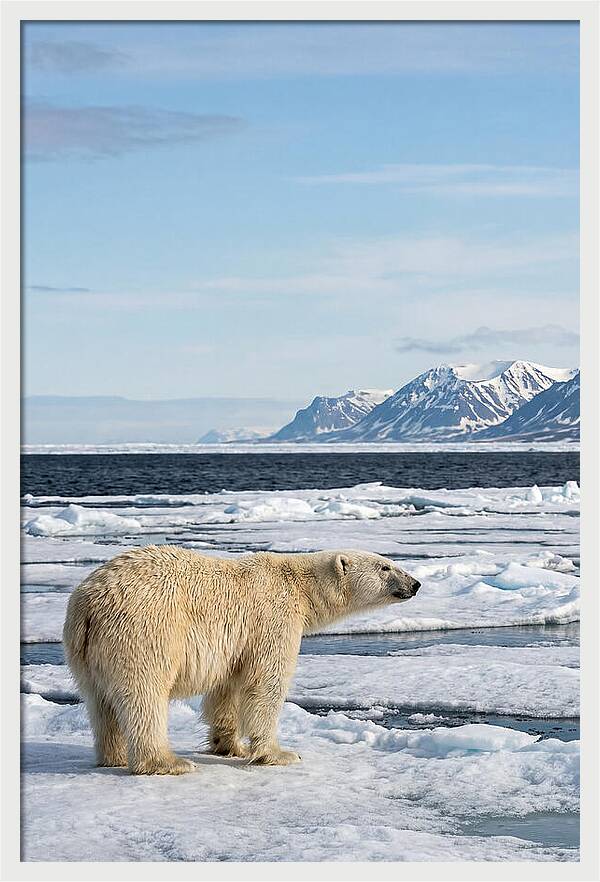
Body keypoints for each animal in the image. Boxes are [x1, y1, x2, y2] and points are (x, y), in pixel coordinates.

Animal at [63, 545, 420, 775]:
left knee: (99, 702)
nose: (416, 584)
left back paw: (113, 756)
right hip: (143, 631)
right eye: (385, 567)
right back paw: (167, 762)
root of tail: (88, 604)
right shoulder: (273, 618)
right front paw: (280, 753)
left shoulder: (237, 644)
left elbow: (227, 689)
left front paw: (230, 746)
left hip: (84, 651)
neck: (299, 586)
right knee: (144, 695)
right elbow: (266, 683)